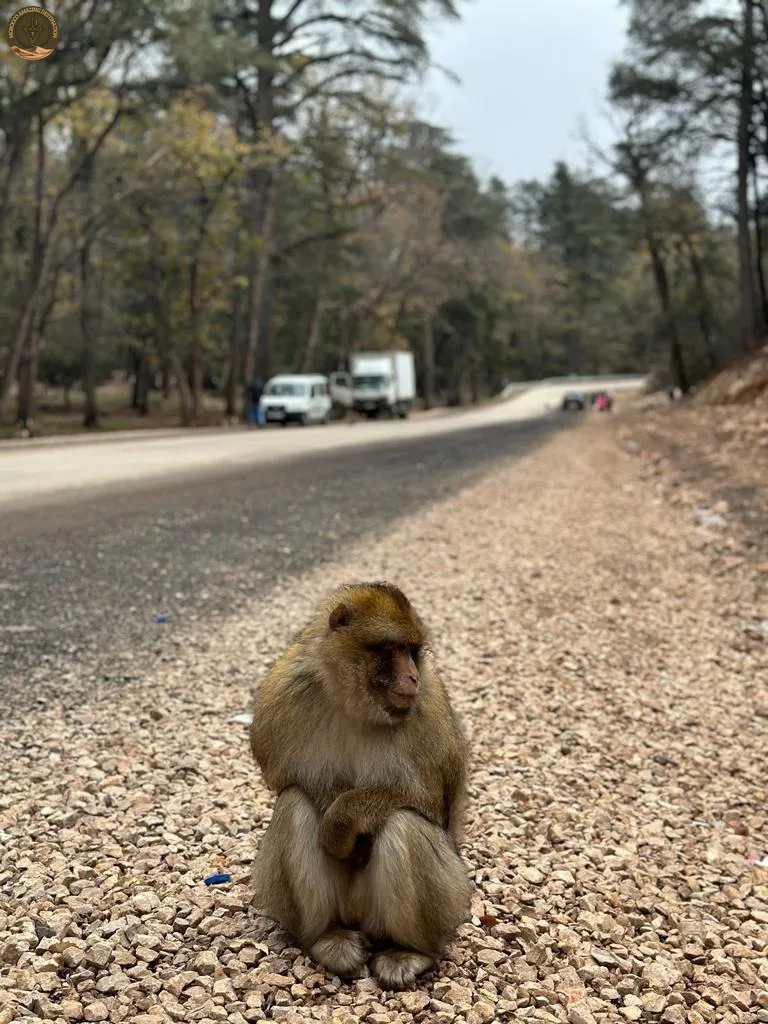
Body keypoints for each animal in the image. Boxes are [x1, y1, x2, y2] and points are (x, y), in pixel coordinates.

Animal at [249, 582, 472, 990]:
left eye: (412, 651)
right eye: (391, 649)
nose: (413, 677)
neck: (354, 703)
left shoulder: (428, 705)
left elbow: (427, 800)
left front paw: (340, 825)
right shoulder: (284, 690)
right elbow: (286, 781)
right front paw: (334, 820)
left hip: (447, 896)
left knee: (404, 822)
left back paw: (413, 952)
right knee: (294, 804)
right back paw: (327, 938)